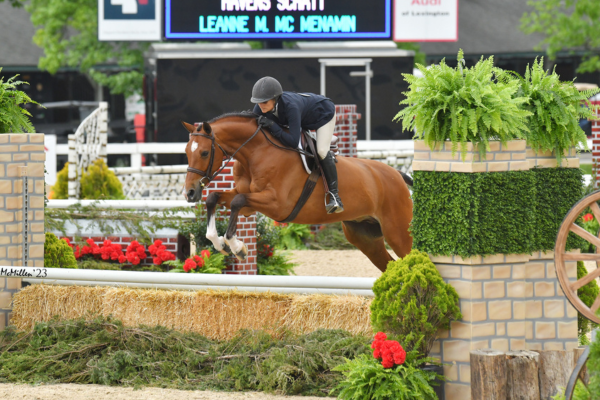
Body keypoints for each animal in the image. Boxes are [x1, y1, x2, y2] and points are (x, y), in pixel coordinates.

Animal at [182, 114, 412, 274]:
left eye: (204, 153)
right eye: (185, 152)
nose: (190, 193)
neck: (256, 153)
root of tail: (398, 175)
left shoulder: (277, 205)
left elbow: (237, 202)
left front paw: (238, 248)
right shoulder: (248, 203)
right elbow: (215, 198)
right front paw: (220, 244)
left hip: (398, 234)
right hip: (364, 237)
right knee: (391, 266)